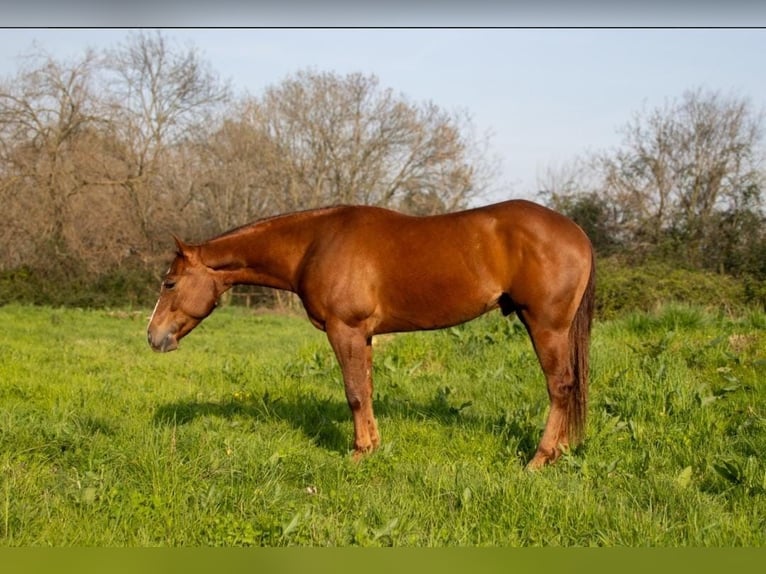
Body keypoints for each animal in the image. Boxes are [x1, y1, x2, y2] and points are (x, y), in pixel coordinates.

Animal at [147, 199, 595, 469]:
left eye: (170, 283)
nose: (153, 337)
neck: (313, 243)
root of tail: (578, 233)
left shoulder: (344, 330)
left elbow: (354, 393)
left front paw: (359, 453)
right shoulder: (364, 336)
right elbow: (367, 389)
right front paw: (374, 445)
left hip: (545, 326)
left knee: (560, 387)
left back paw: (540, 459)